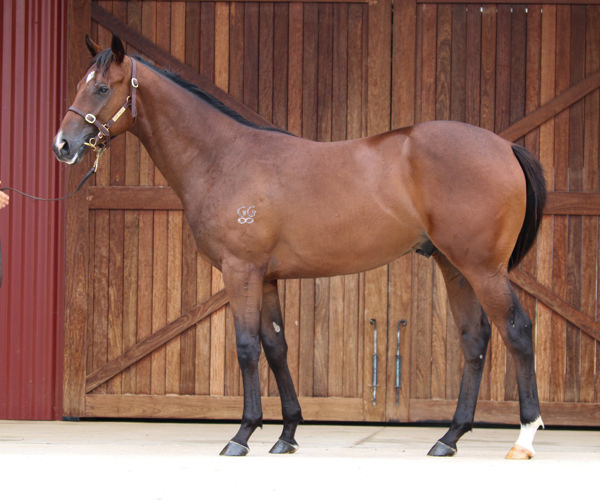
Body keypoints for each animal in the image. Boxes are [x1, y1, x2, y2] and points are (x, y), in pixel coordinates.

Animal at [54, 34, 548, 458]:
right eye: (81, 84)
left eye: (101, 88)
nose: (62, 145)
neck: (223, 157)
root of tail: (504, 145)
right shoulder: (267, 277)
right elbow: (276, 347)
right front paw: (287, 434)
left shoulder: (241, 270)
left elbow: (247, 348)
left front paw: (242, 435)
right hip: (454, 266)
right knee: (475, 339)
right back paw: (449, 438)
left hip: (483, 269)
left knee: (517, 331)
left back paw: (524, 438)